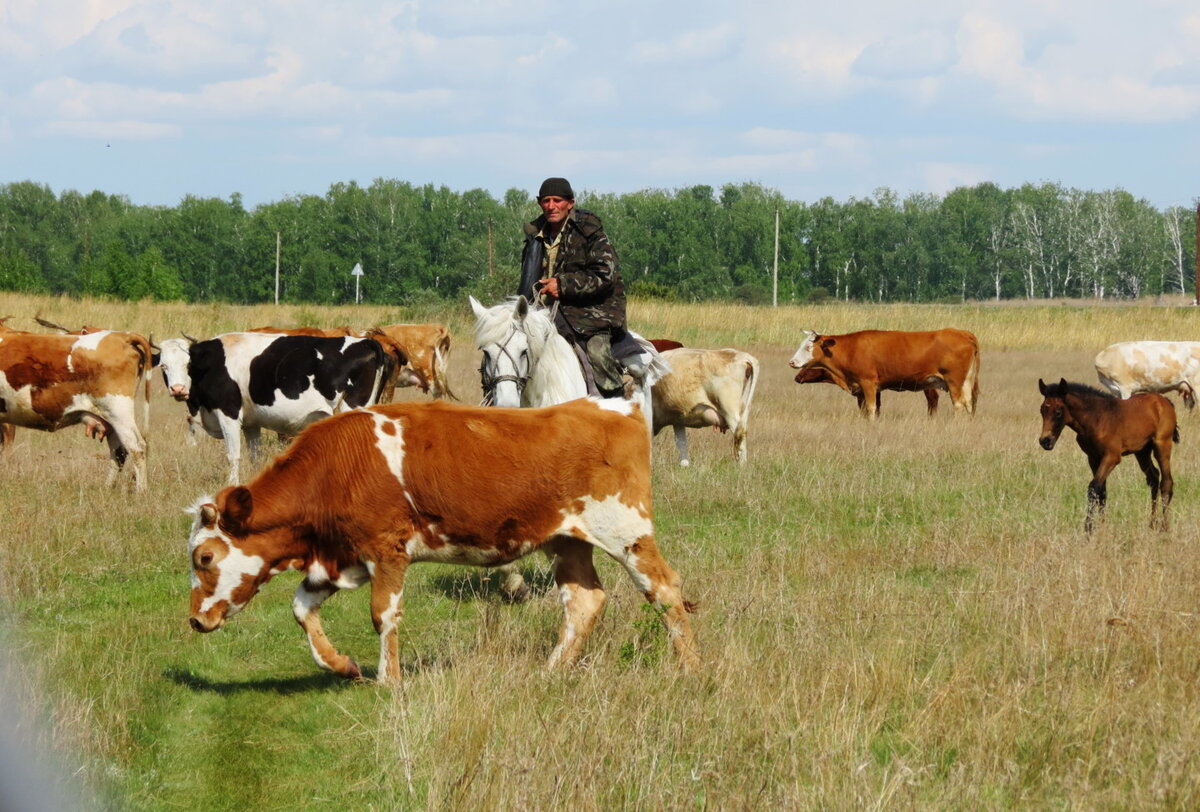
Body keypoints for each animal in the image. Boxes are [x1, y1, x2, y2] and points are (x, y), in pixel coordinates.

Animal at [0, 328, 153, 486]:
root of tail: (123, 336)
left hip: (118, 412)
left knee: (137, 448)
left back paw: (141, 490)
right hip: (111, 419)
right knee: (119, 451)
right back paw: (107, 487)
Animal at [156, 331, 393, 482]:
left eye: (188, 364)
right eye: (163, 366)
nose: (177, 389)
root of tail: (366, 342)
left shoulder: (228, 414)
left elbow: (233, 455)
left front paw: (231, 484)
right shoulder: (250, 423)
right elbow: (255, 456)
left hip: (351, 408)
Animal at [182, 395, 700, 681]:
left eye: (204, 557)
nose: (194, 620)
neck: (335, 467)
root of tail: (618, 407)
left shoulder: (386, 551)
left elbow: (383, 615)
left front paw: (389, 681)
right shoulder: (339, 557)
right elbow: (301, 609)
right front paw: (342, 664)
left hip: (627, 532)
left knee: (665, 589)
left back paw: (688, 668)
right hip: (567, 541)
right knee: (584, 602)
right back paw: (552, 670)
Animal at [792, 328, 979, 417]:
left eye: (808, 347)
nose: (791, 362)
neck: (851, 349)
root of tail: (963, 333)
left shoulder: (867, 384)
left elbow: (871, 408)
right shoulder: (874, 389)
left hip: (954, 382)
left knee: (958, 404)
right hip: (966, 382)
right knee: (969, 403)